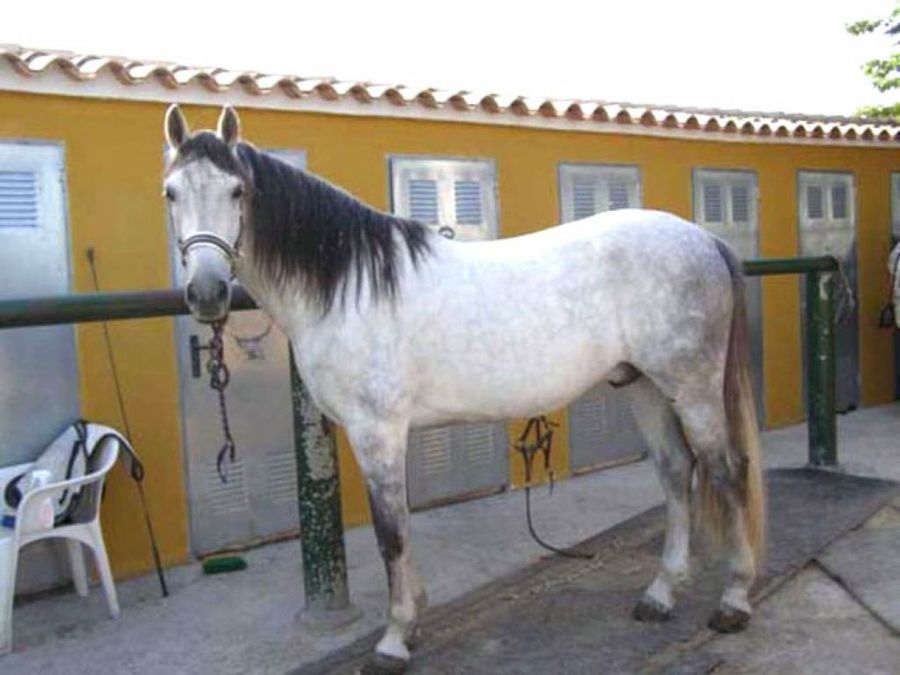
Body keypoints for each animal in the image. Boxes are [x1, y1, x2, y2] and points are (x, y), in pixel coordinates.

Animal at [163, 105, 766, 672]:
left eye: (237, 191)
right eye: (171, 192)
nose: (207, 293)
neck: (350, 286)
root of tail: (703, 238)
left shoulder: (376, 431)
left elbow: (390, 532)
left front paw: (392, 641)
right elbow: (401, 525)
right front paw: (411, 624)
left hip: (692, 387)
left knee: (727, 471)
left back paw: (734, 600)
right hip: (644, 385)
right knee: (676, 471)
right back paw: (660, 594)